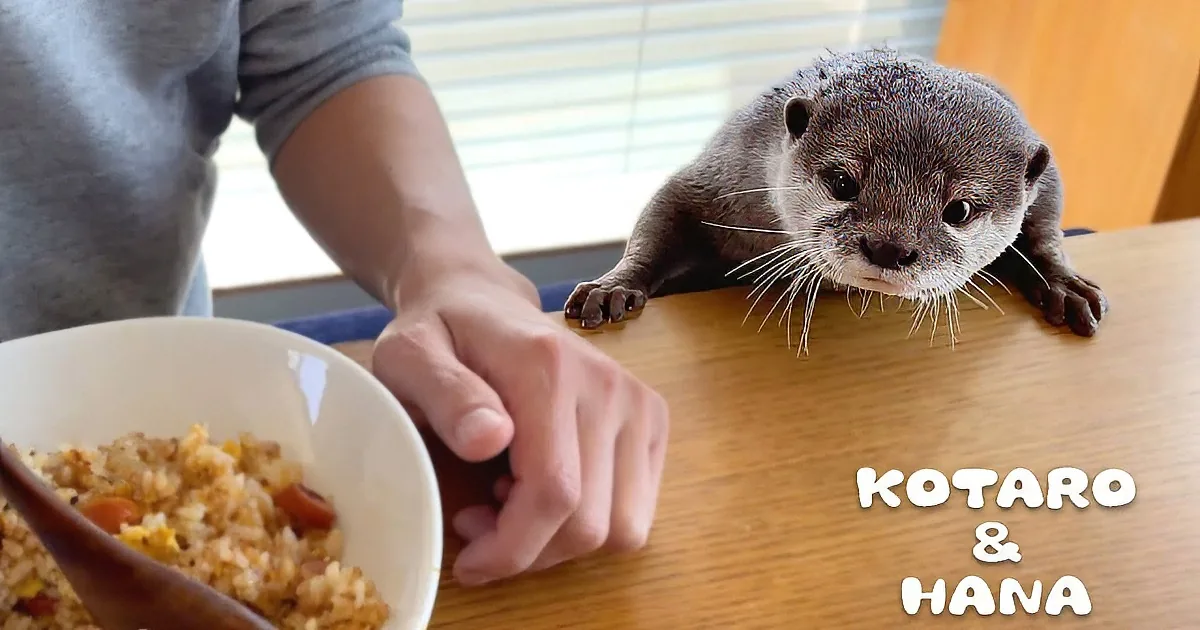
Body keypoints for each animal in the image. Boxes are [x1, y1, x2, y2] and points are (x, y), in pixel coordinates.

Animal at [563, 48, 1108, 348]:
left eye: (960, 209)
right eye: (843, 183)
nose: (889, 247)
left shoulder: (1043, 172)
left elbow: (1045, 227)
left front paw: (1064, 284)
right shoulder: (723, 172)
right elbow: (665, 211)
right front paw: (611, 288)